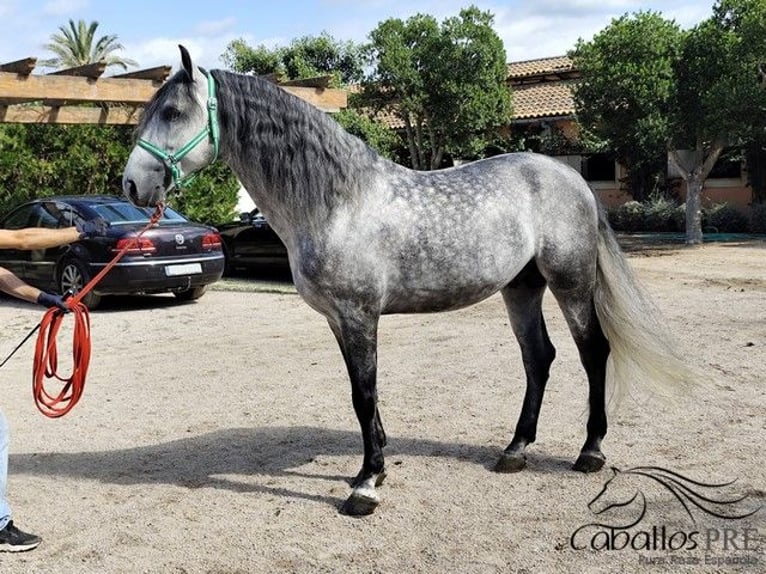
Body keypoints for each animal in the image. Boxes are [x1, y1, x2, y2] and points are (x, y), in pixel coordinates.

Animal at [122, 45, 695, 516]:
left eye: (172, 113)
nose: (131, 184)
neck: (336, 203)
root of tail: (571, 176)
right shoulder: (338, 320)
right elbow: (362, 394)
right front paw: (373, 468)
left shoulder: (359, 314)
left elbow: (365, 392)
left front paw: (365, 487)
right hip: (521, 287)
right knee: (539, 357)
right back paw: (515, 450)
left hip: (570, 281)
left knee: (592, 351)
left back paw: (590, 451)